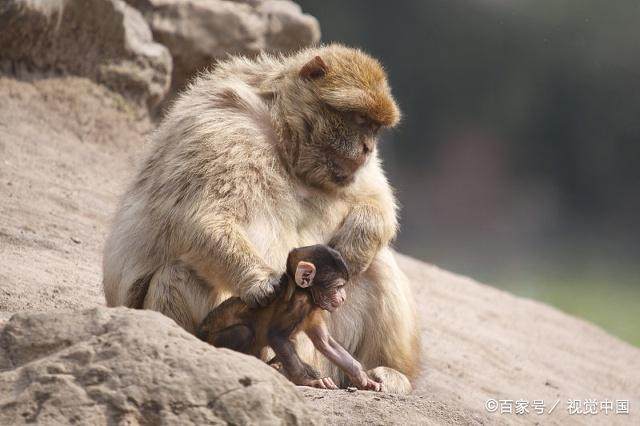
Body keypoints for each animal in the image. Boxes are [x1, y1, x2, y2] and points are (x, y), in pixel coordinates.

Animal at [196, 245, 380, 392]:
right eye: (339, 286)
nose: (343, 297)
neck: (305, 292)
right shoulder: (298, 304)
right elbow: (276, 336)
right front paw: (308, 381)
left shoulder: (313, 310)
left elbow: (325, 343)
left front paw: (362, 377)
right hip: (211, 339)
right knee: (243, 331)